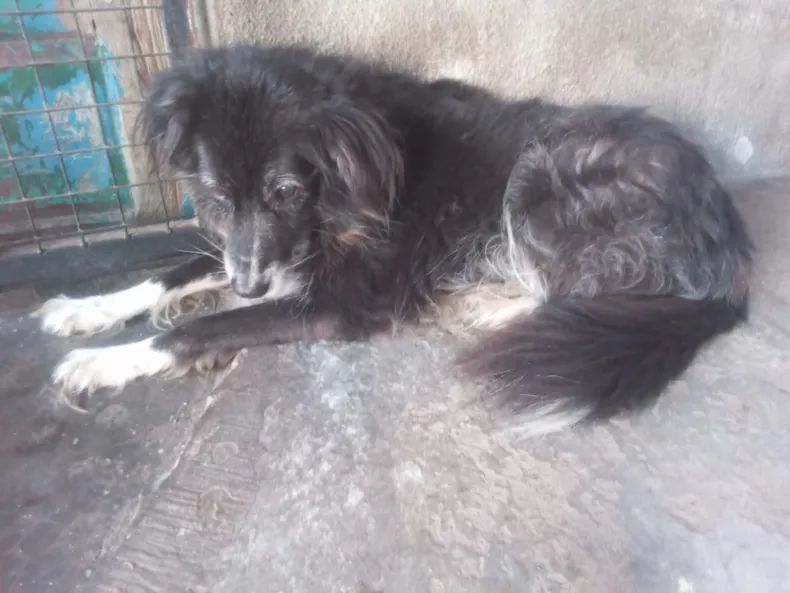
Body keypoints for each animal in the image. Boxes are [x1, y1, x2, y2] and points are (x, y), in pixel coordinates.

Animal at [35, 43, 756, 436]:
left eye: (285, 191)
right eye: (215, 193)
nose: (250, 285)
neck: (342, 189)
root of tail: (731, 253)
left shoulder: (338, 301)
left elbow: (198, 325)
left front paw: (105, 361)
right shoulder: (263, 252)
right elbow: (174, 271)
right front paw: (86, 309)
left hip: (546, 168)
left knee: (577, 294)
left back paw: (487, 301)